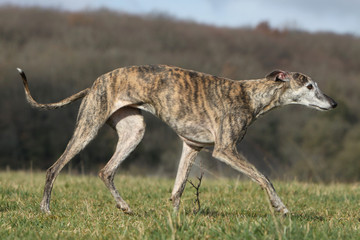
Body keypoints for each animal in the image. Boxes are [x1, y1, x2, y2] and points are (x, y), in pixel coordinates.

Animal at [16, 64, 338, 215]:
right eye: (309, 86)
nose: (334, 103)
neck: (251, 96)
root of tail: (94, 83)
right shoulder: (225, 150)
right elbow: (264, 178)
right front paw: (280, 208)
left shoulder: (192, 147)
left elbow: (178, 189)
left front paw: (174, 219)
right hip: (88, 128)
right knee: (54, 169)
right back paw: (45, 209)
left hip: (134, 129)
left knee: (106, 171)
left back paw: (124, 206)